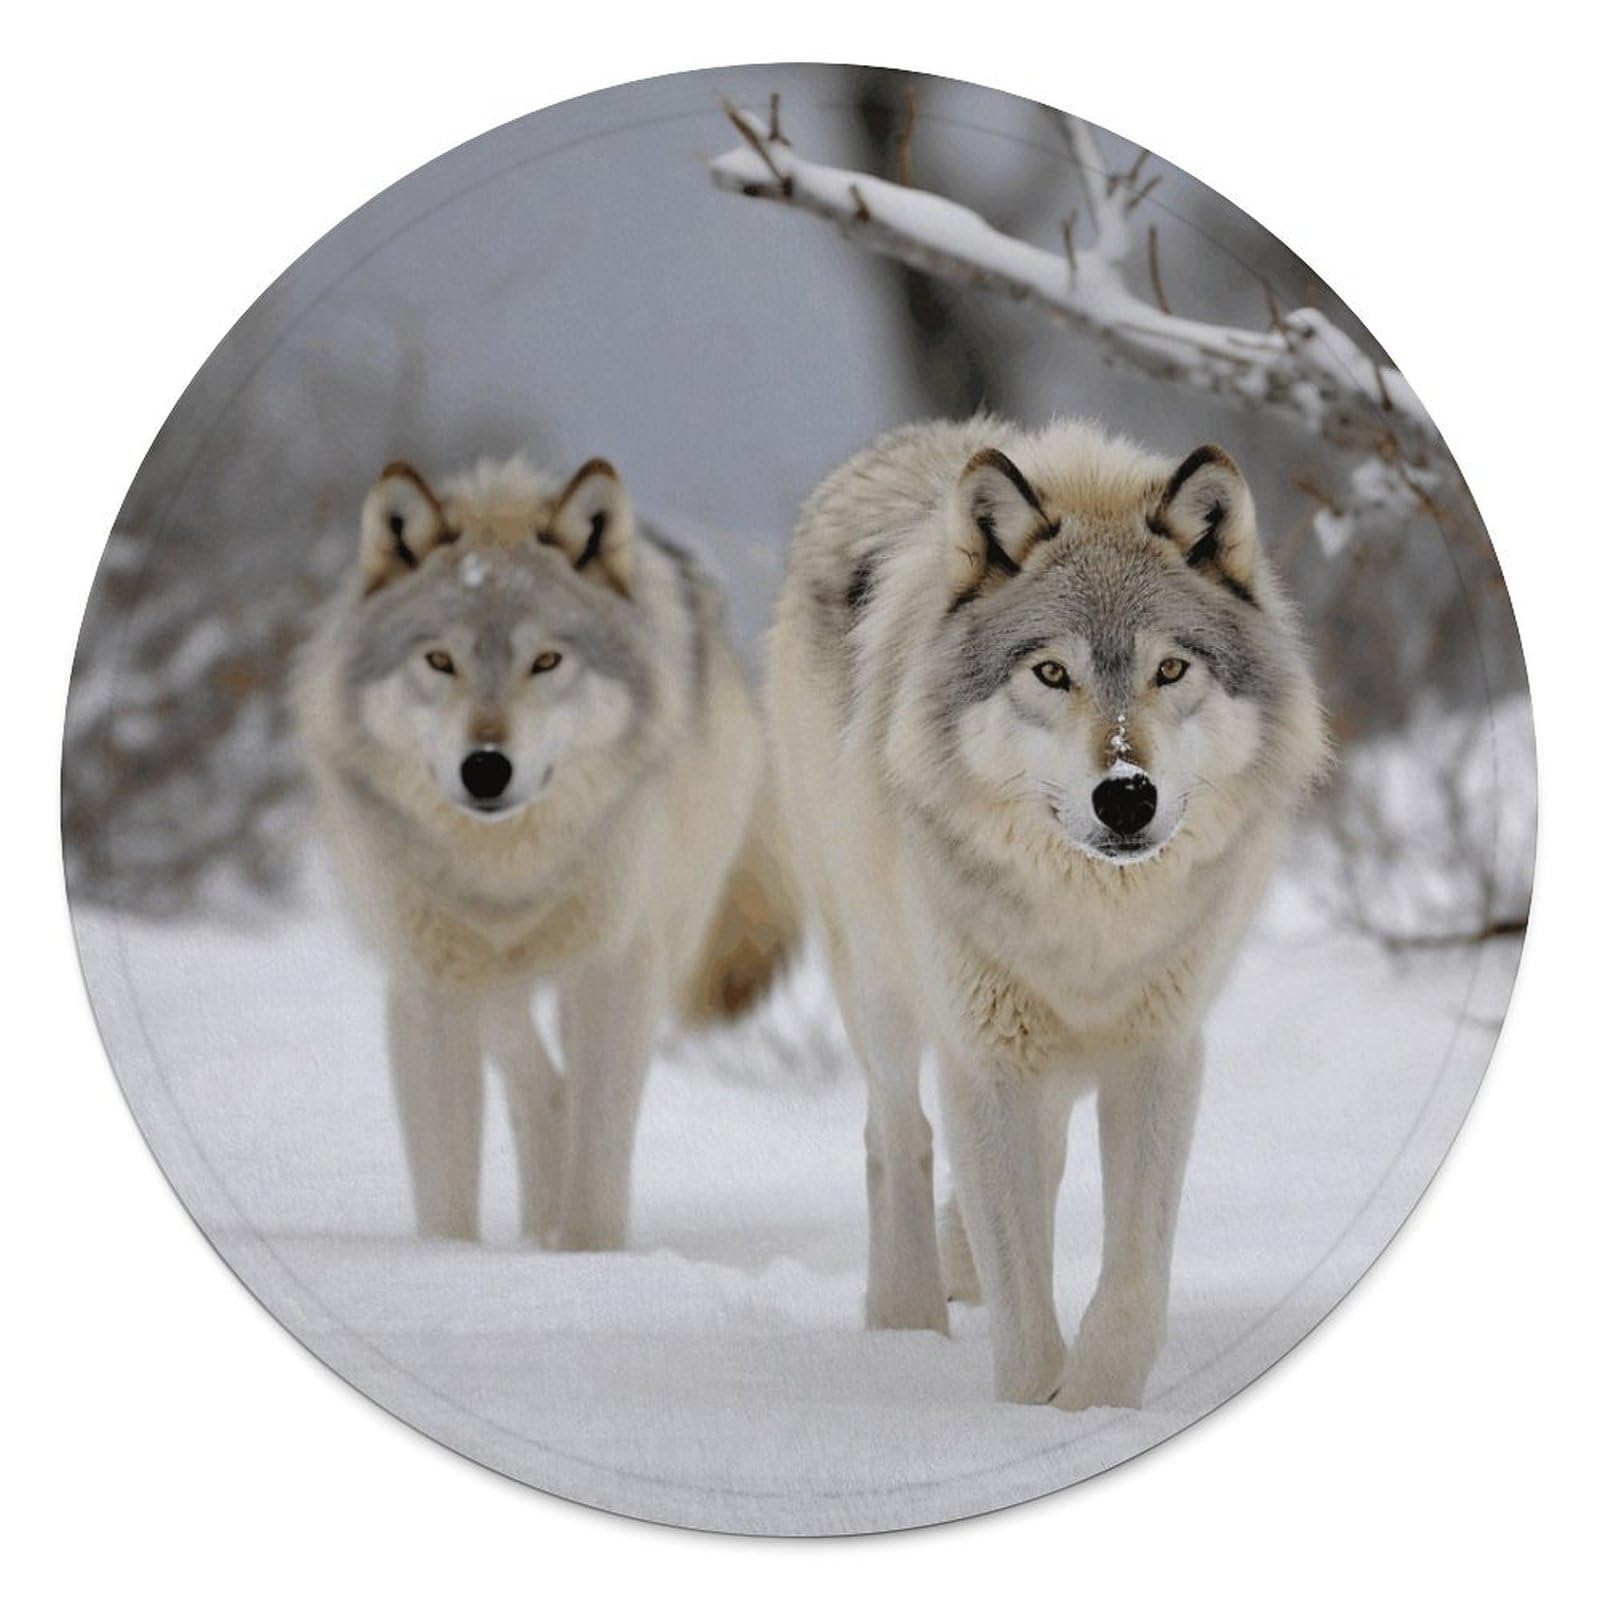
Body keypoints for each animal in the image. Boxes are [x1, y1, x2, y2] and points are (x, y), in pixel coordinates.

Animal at [295, 454, 792, 1248]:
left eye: (547, 660)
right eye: (440, 660)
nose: (485, 768)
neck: (506, 869)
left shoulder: (615, 969)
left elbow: (599, 1157)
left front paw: (584, 1259)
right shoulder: (429, 985)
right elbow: (447, 1181)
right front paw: (450, 1262)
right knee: (530, 1066)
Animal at [769, 417, 1327, 1409]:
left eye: (1170, 667)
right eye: (1052, 671)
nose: (1127, 795)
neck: (1091, 921)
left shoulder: (1159, 1053)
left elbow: (1135, 1269)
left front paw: (1099, 1404)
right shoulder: (985, 1059)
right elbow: (1024, 1299)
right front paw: (1033, 1419)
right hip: (877, 978)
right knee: (896, 1133)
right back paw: (907, 1318)